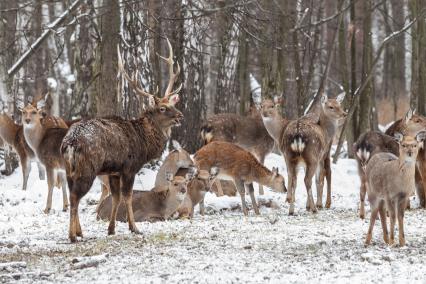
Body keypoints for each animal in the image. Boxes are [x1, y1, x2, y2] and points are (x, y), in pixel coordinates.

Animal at [61, 38, 183, 243]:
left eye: (172, 104)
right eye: (163, 108)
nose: (180, 115)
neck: (144, 142)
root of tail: (71, 142)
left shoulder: (113, 171)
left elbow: (116, 197)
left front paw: (111, 229)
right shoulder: (129, 167)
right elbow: (127, 196)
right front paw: (134, 228)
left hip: (69, 169)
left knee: (72, 195)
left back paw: (79, 232)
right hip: (87, 168)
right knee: (76, 197)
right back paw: (72, 236)